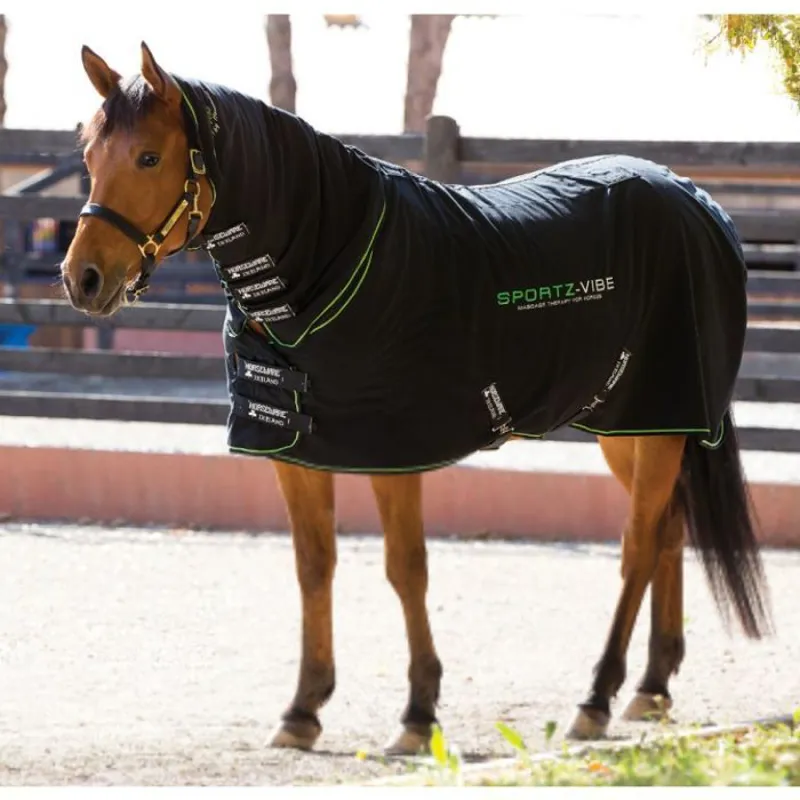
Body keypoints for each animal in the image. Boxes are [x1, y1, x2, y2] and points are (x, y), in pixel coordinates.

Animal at [61, 41, 773, 756]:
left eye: (149, 157)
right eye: (89, 155)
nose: (82, 278)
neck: (327, 267)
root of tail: (695, 200)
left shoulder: (393, 453)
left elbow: (406, 569)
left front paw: (418, 713)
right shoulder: (296, 453)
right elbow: (313, 567)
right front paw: (303, 709)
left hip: (656, 418)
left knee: (636, 545)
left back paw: (597, 698)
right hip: (635, 423)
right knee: (668, 531)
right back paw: (651, 688)